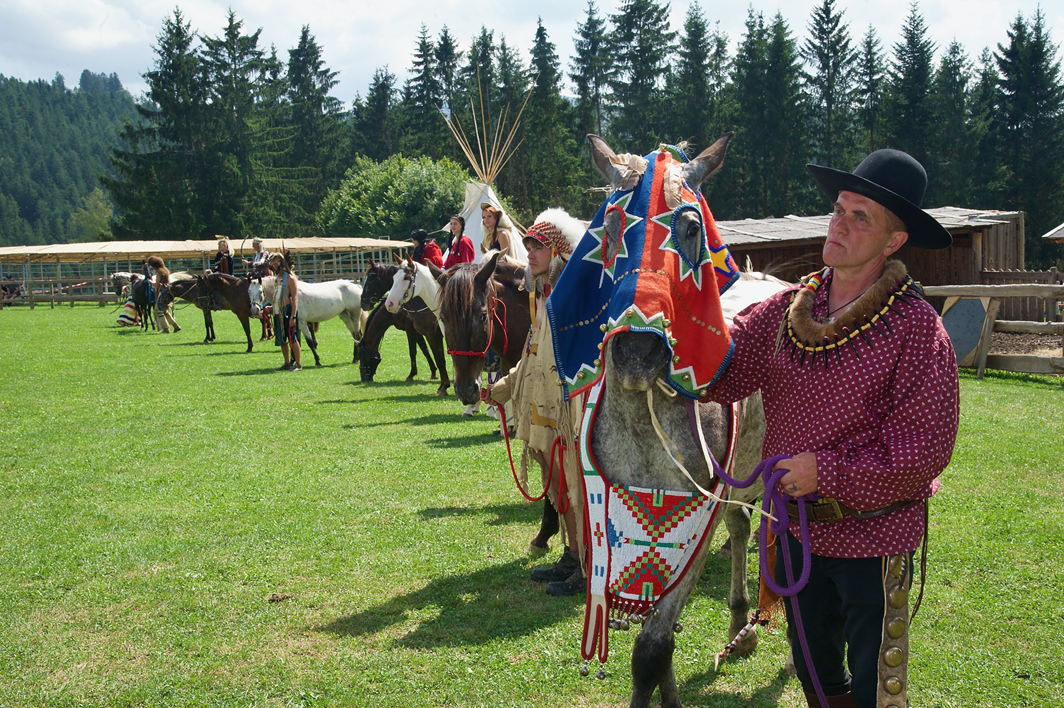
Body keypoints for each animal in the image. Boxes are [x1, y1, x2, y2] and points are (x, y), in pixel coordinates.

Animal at [551, 133, 788, 708]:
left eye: (690, 228)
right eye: (613, 224)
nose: (638, 352)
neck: (645, 431)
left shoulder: (690, 530)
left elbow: (652, 648)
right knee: (741, 525)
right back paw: (739, 625)